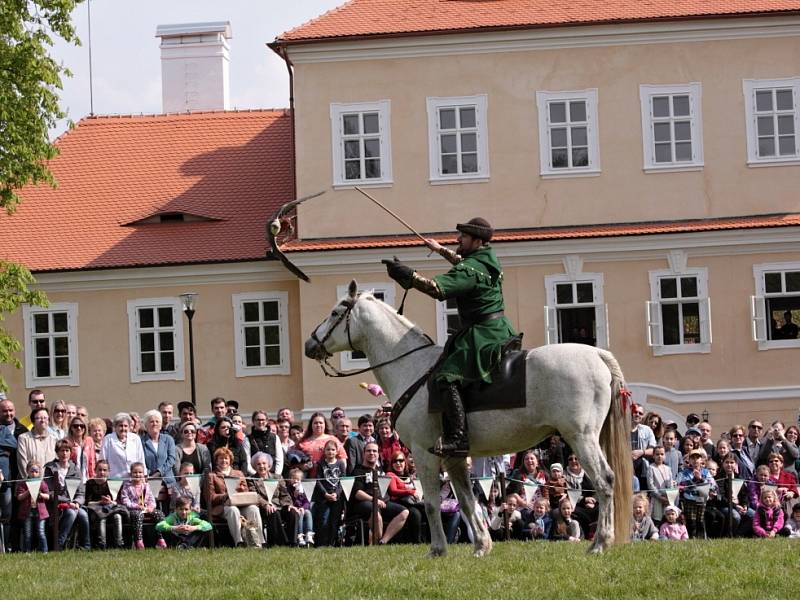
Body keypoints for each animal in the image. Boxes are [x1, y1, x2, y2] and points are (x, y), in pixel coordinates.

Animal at [304, 282, 632, 556]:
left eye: (336, 312)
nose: (310, 344)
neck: (412, 367)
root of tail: (598, 355)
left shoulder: (424, 454)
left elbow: (433, 504)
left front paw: (437, 550)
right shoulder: (454, 457)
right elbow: (466, 501)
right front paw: (481, 546)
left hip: (581, 437)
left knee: (604, 481)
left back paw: (600, 544)